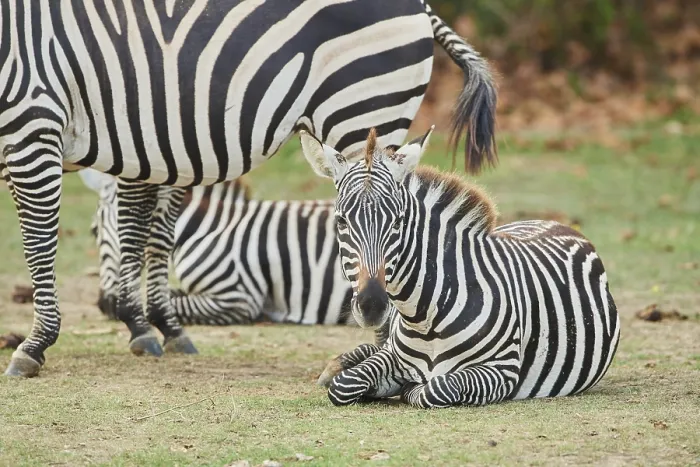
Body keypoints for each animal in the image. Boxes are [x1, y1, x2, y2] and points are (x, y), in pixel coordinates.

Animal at [0, 0, 497, 377]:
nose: (103, 304)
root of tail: (419, 5)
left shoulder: (31, 122)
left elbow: (42, 240)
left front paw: (34, 345)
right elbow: (146, 228)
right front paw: (151, 326)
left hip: (364, 112)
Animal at [301, 127, 621, 408]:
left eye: (398, 221)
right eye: (341, 221)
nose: (372, 305)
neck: (423, 317)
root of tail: (555, 223)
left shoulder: (501, 370)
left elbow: (434, 389)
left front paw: (406, 389)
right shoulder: (393, 357)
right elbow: (345, 385)